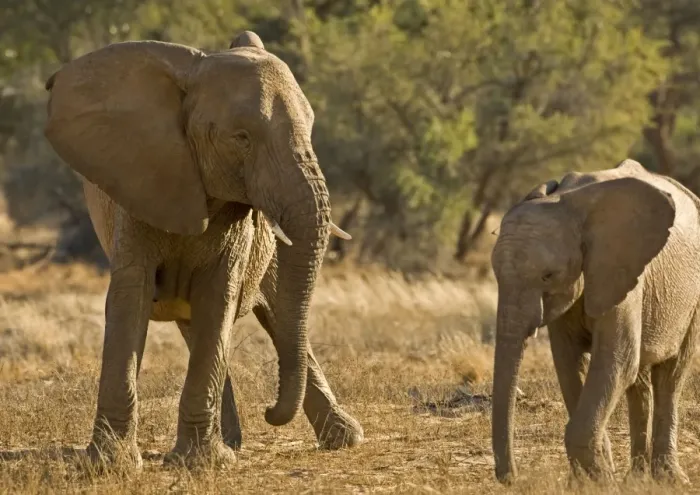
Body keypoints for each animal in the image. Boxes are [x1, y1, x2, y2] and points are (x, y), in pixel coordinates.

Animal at [42, 31, 363, 468]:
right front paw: (111, 463)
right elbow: (130, 300)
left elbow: (218, 297)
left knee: (278, 317)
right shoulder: (138, 188)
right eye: (241, 138)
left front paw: (203, 464)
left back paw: (343, 439)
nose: (269, 411)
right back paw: (233, 441)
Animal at [490, 158, 700, 484]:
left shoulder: (619, 269)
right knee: (638, 381)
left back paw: (669, 479)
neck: (565, 203)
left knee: (671, 375)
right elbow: (570, 363)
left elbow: (615, 360)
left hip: (692, 300)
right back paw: (636, 479)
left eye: (548, 276)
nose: (512, 479)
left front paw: (600, 480)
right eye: (495, 273)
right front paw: (592, 478)